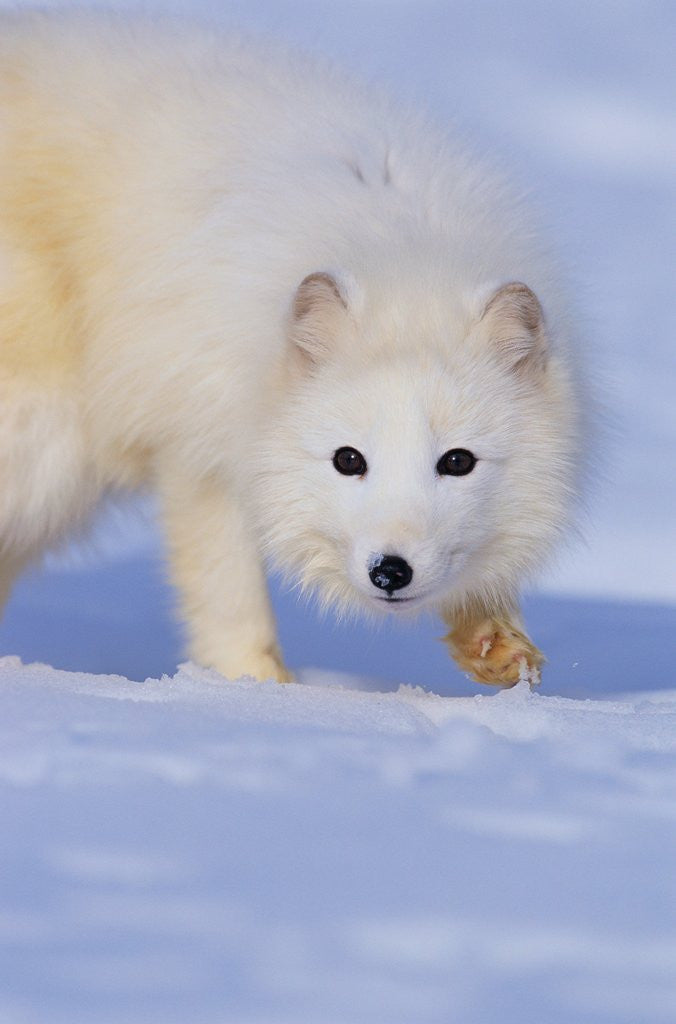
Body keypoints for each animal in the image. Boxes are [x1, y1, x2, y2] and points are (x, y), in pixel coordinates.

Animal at [0, 9, 583, 687]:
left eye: (458, 461)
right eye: (348, 460)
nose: (390, 571)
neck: (404, 254)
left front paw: (493, 640)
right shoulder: (201, 448)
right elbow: (229, 600)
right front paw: (264, 694)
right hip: (45, 450)